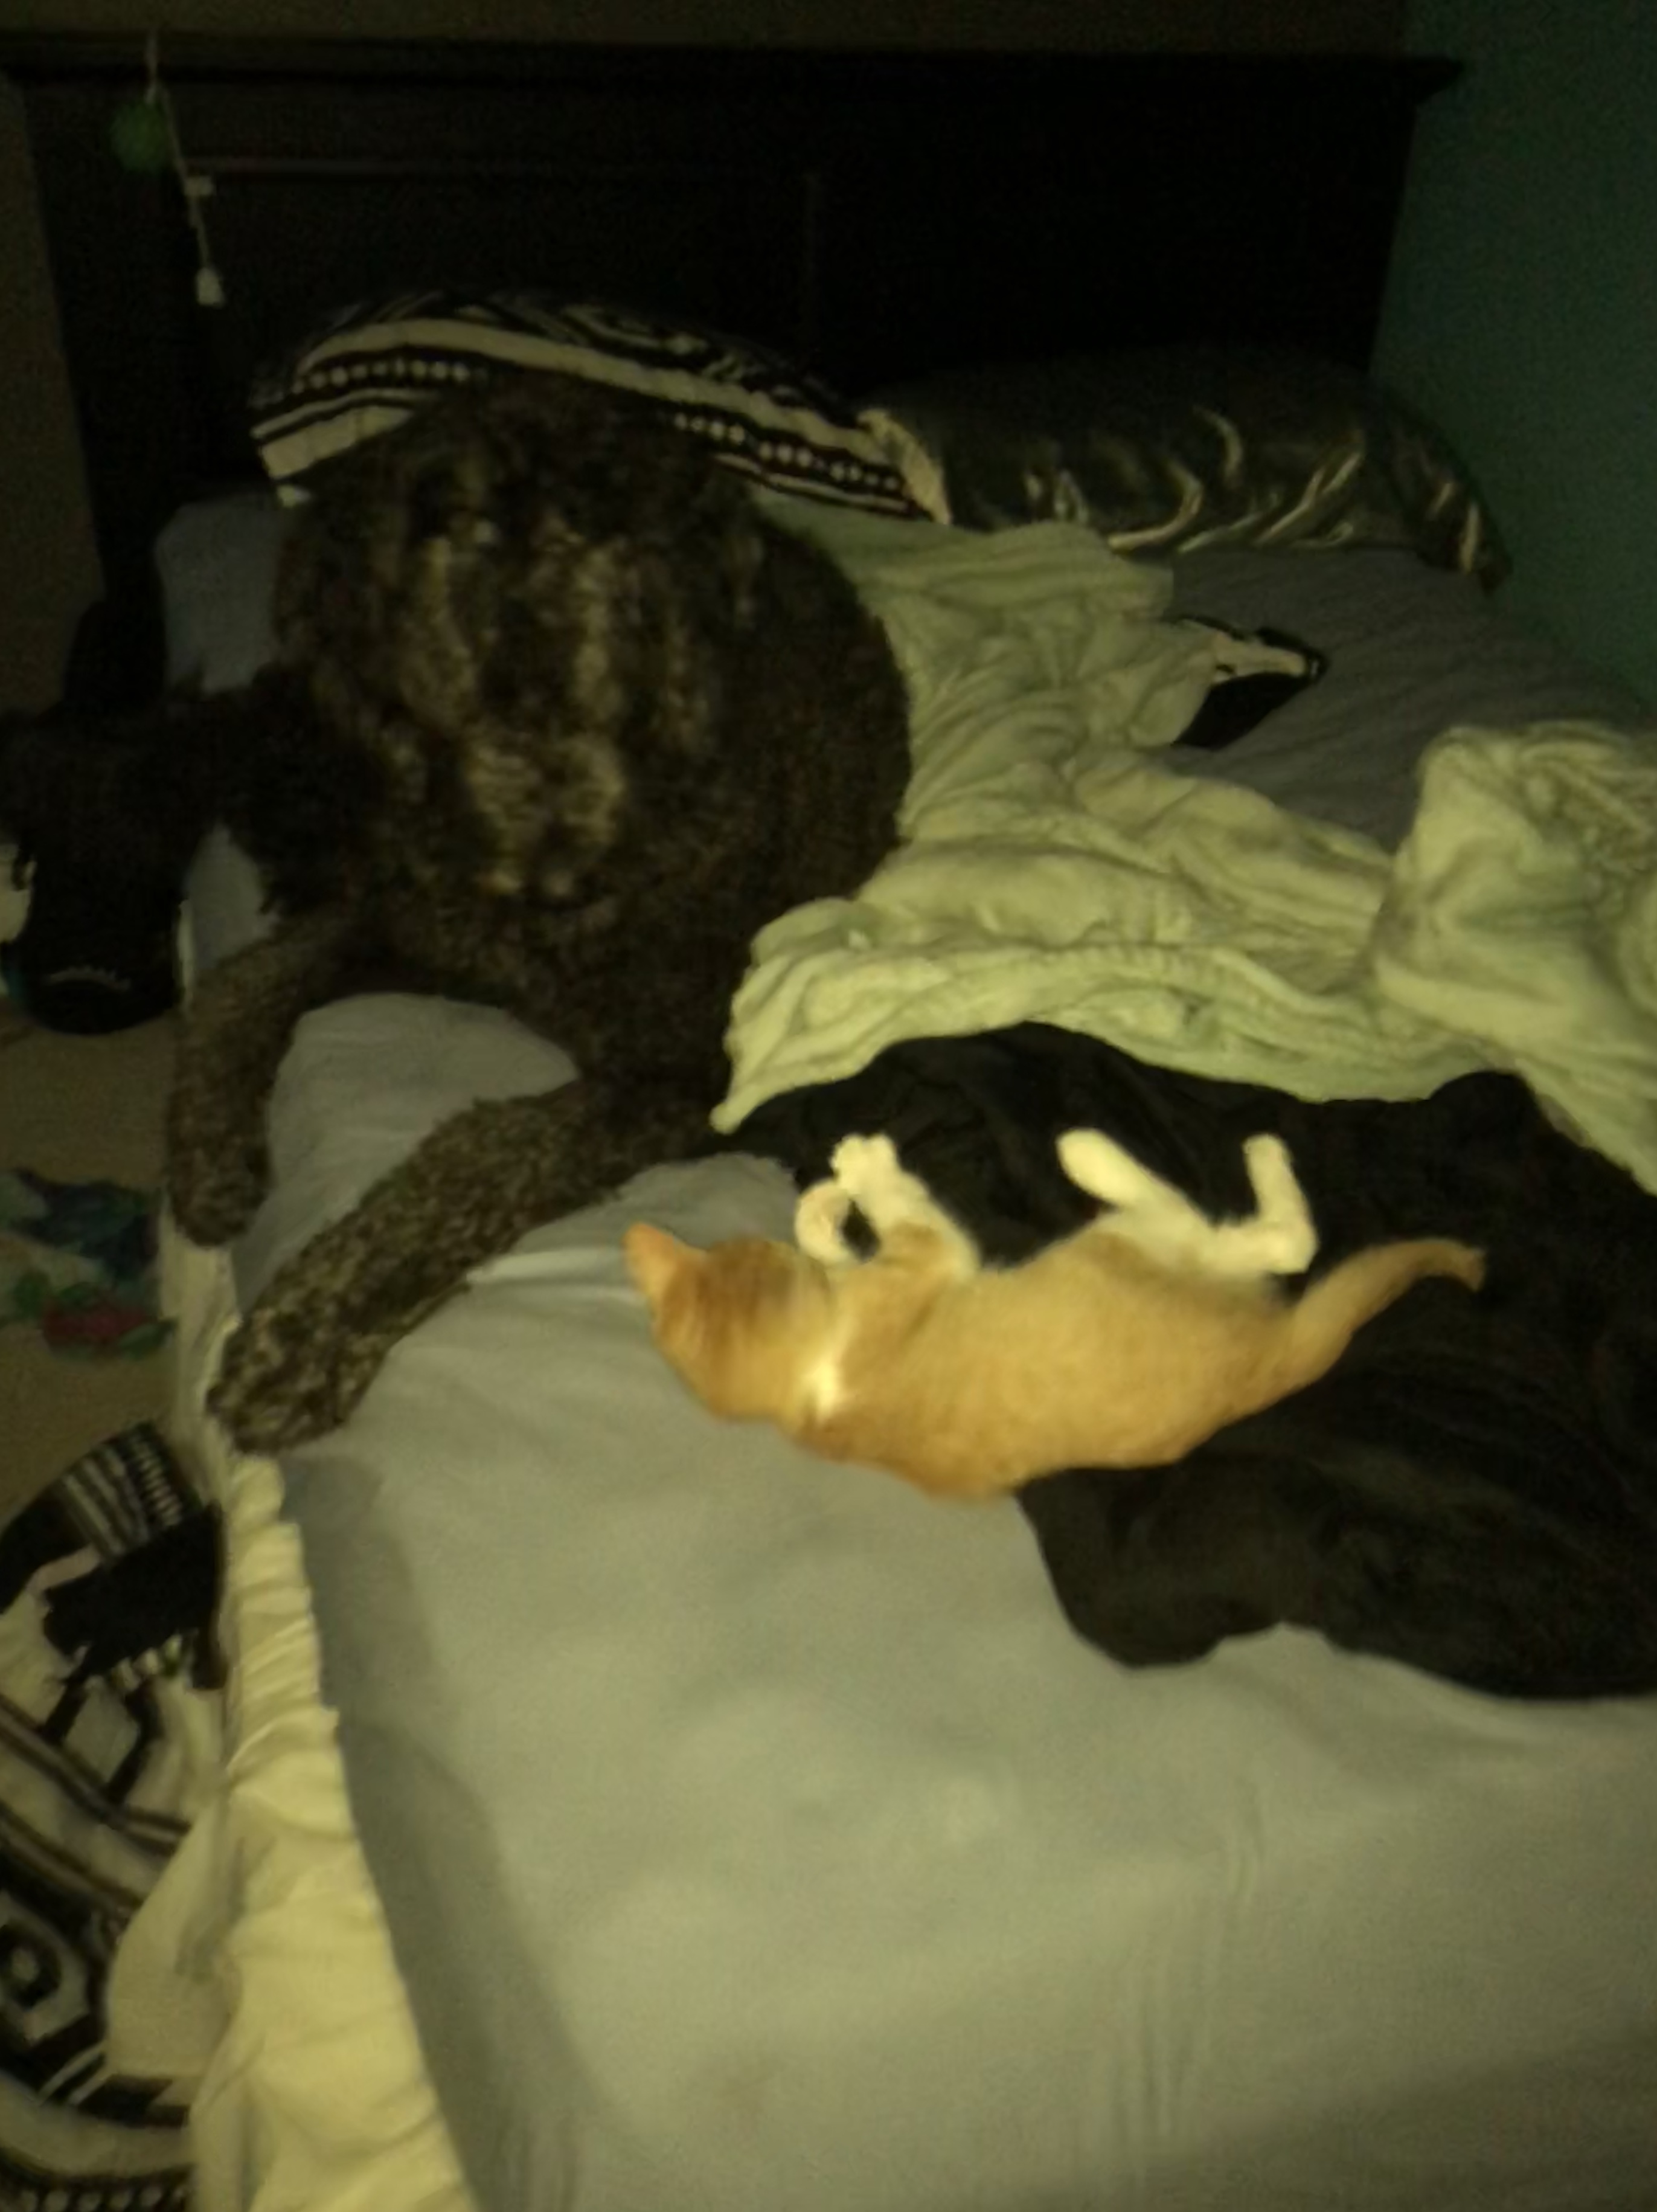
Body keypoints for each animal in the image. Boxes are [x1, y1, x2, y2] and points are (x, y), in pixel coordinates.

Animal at [168, 369, 911, 1451]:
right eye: (455, 688)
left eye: (628, 658)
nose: (566, 888)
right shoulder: (414, 920)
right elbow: (243, 979)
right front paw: (207, 1144)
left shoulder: (679, 1069)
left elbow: (484, 1149)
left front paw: (314, 1323)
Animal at [624, 1124, 1486, 1504]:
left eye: (749, 1245)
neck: (804, 1390)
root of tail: (1269, 1365)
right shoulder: (930, 1258)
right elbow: (908, 1210)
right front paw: (863, 1170)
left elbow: (843, 1241)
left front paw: (824, 1208)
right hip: (1127, 1242)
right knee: (1278, 1240)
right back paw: (1099, 1151)